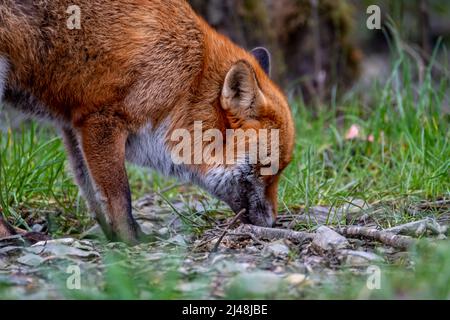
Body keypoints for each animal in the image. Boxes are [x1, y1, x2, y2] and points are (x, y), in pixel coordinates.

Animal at [0, 0, 296, 245]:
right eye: (270, 169)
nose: (273, 223)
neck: (188, 78)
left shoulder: (73, 125)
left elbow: (92, 194)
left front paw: (110, 235)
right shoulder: (102, 120)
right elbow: (120, 195)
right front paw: (130, 239)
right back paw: (12, 236)